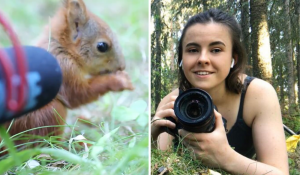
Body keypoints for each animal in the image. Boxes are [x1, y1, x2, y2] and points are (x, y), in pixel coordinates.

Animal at [0, 0, 134, 153]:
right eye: (102, 46)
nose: (122, 66)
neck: (64, 49)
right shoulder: (64, 69)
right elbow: (77, 94)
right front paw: (119, 80)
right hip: (46, 114)